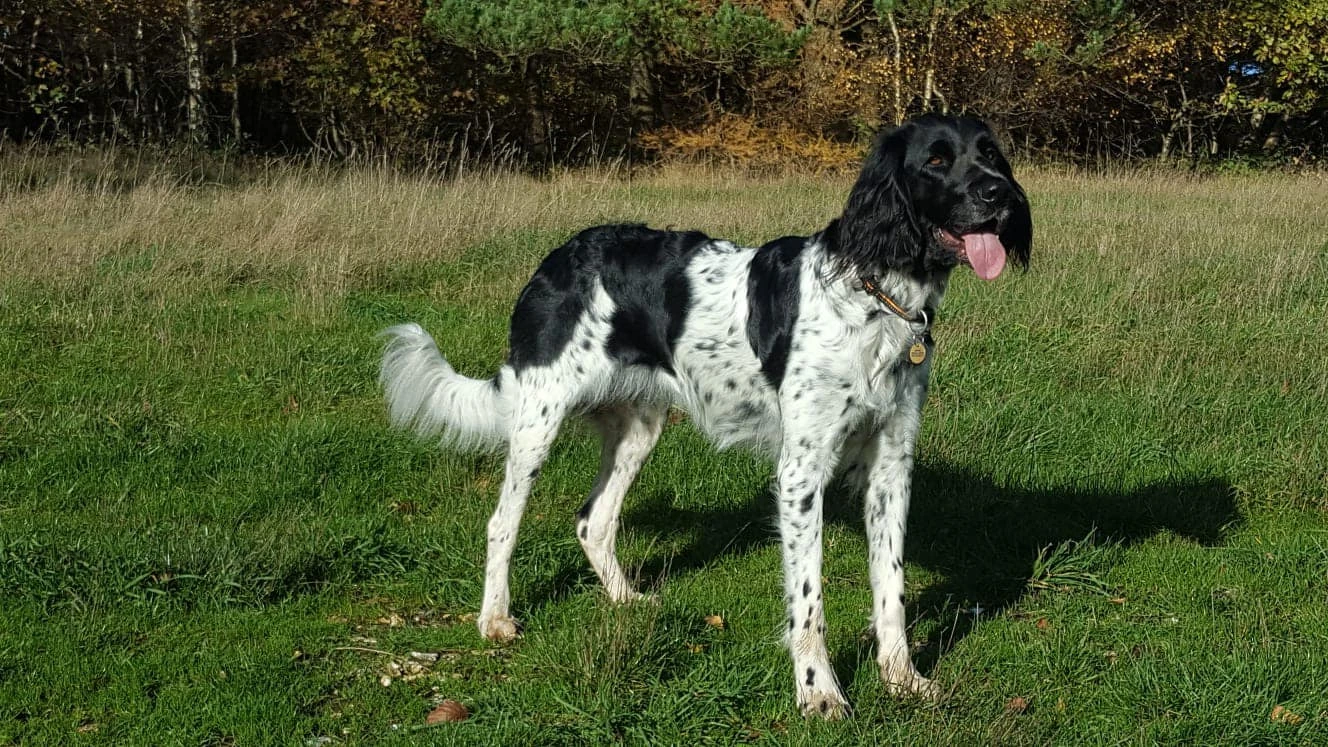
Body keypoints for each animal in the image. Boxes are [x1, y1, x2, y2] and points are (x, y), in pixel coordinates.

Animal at [379, 113, 1030, 712]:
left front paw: (901, 679)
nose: (998, 193)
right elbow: (809, 601)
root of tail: (559, 257)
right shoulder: (801, 473)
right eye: (936, 161)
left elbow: (890, 585)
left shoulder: (892, 464)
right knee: (502, 523)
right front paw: (818, 693)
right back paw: (495, 619)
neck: (878, 295)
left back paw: (626, 600)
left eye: (990, 153)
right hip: (538, 419)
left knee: (593, 520)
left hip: (639, 428)